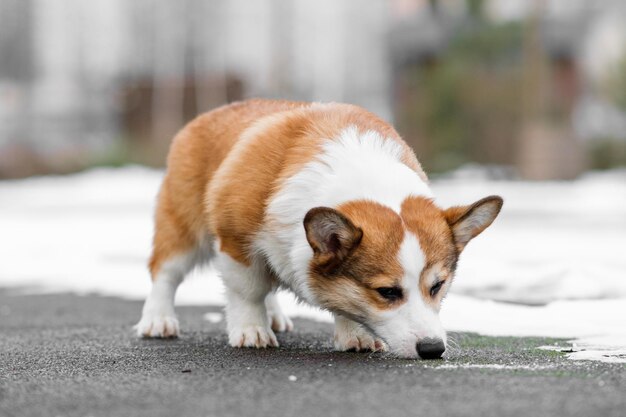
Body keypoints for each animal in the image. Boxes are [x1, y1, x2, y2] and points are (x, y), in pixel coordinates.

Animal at [134, 99, 500, 360]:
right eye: (387, 292)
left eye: (437, 286)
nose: (432, 350)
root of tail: (208, 114)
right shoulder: (235, 243)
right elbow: (247, 291)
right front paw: (251, 331)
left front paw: (355, 335)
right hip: (183, 228)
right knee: (165, 272)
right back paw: (158, 321)